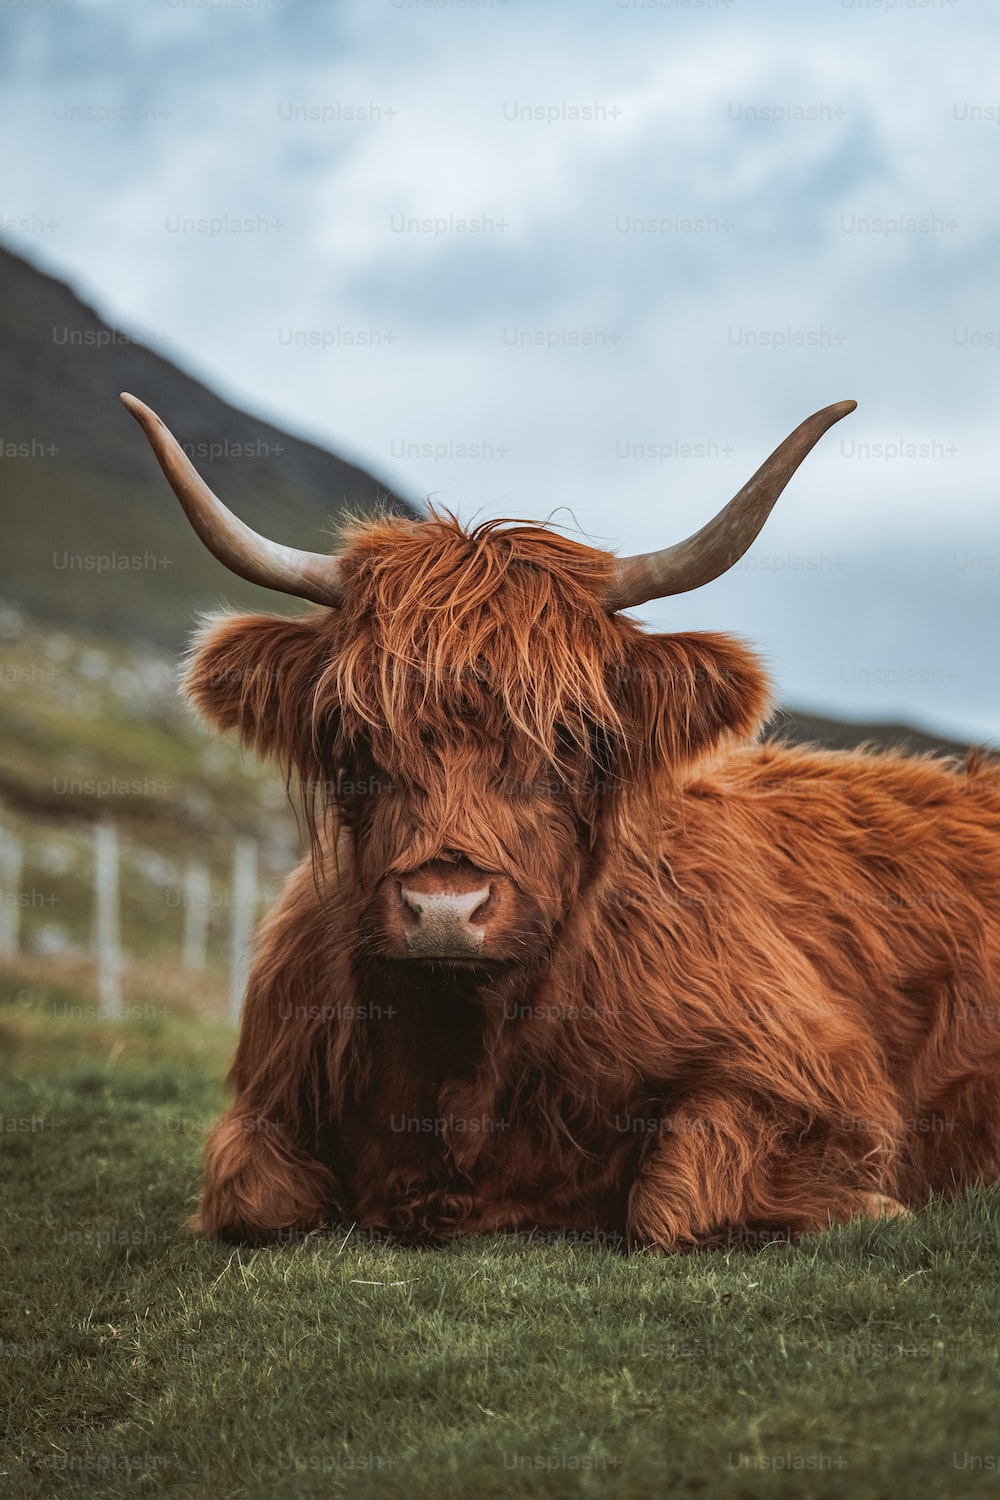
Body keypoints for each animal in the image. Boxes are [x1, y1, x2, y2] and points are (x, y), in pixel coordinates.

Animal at [122, 391, 1000, 1250]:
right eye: (353, 733)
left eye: (572, 735)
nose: (446, 909)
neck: (463, 1057)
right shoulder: (271, 1092)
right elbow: (251, 1195)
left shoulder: (808, 1071)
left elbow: (672, 1198)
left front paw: (871, 1205)